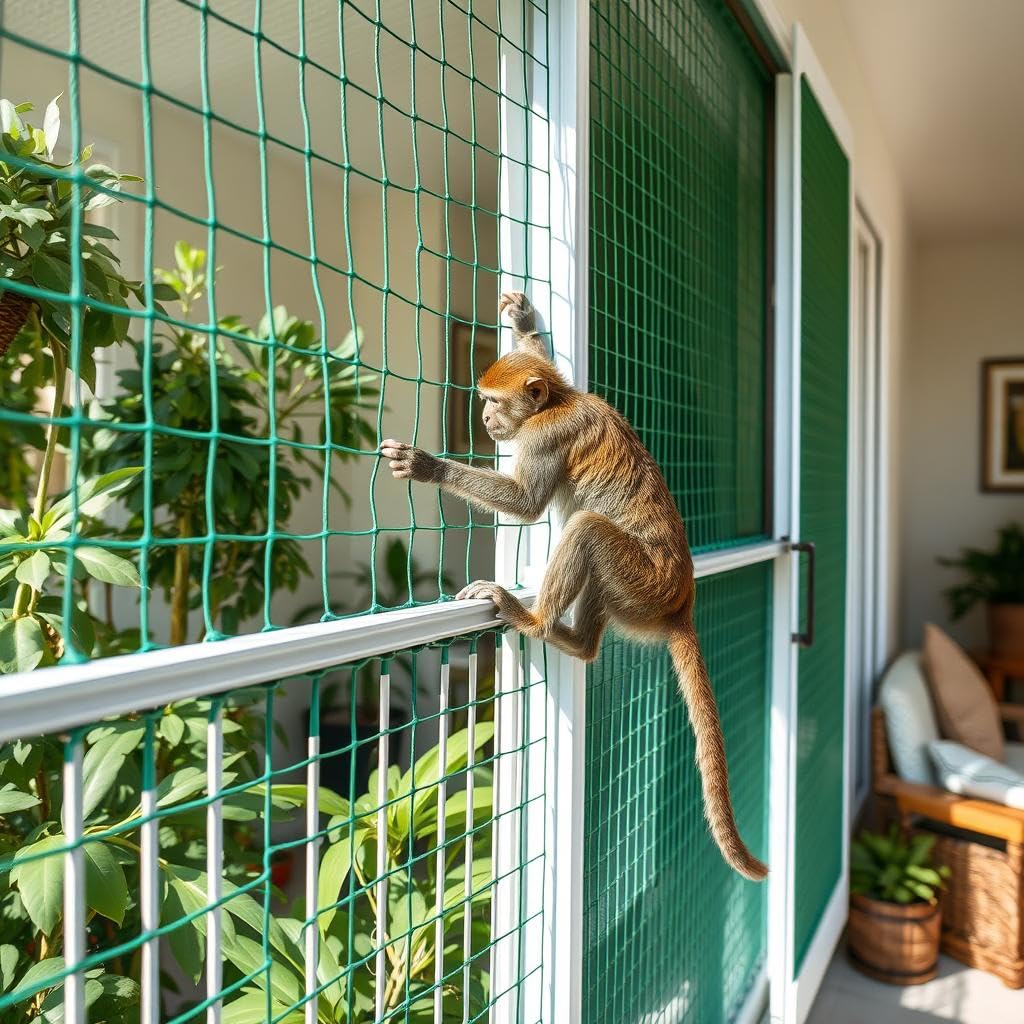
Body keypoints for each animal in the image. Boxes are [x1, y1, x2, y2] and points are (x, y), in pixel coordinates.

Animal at [380, 291, 767, 882]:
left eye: (492, 401)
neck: (556, 403)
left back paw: (536, 621)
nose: (485, 417)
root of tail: (681, 597)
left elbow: (526, 502)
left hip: (643, 580)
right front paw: (524, 324)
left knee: (585, 529)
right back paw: (577, 641)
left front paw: (428, 466)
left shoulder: (545, 437)